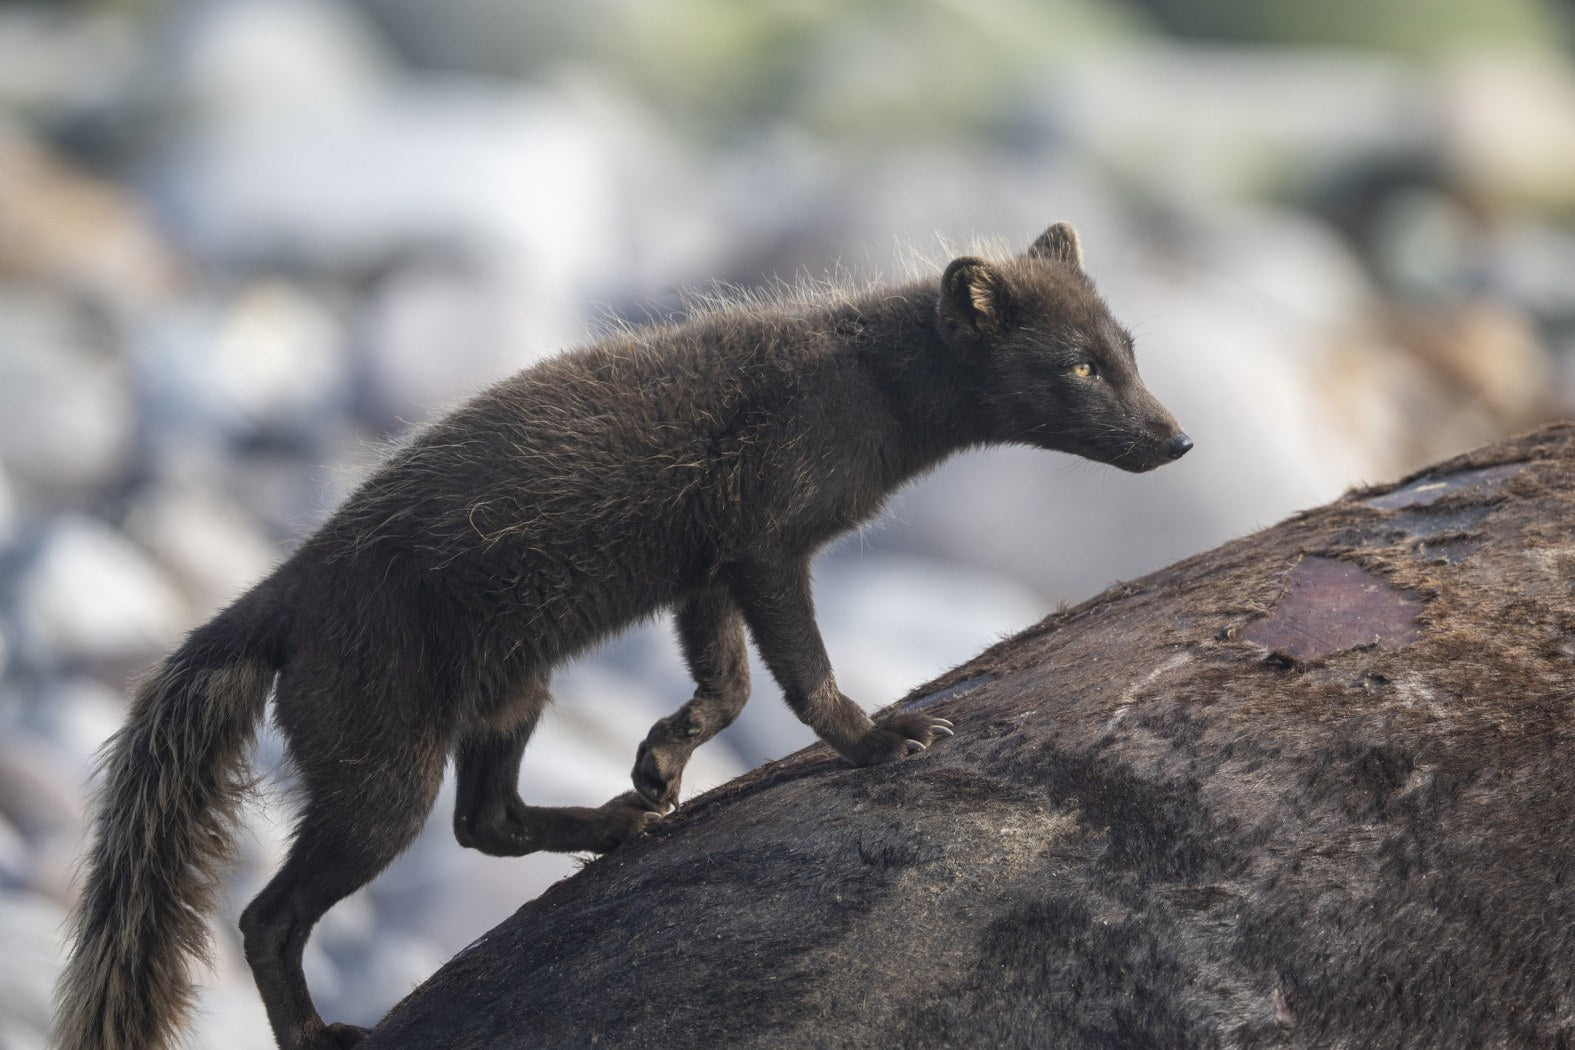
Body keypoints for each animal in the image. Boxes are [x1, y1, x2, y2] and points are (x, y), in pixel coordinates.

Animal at [54, 222, 1191, 1050]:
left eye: (1132, 351)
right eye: (1078, 367)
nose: (1177, 439)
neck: (866, 386)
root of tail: (278, 595)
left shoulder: (708, 563)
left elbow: (727, 685)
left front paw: (658, 761)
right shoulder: (767, 535)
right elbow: (797, 674)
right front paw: (882, 739)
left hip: (512, 688)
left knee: (486, 821)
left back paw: (625, 825)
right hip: (379, 757)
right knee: (274, 914)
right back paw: (324, 1032)